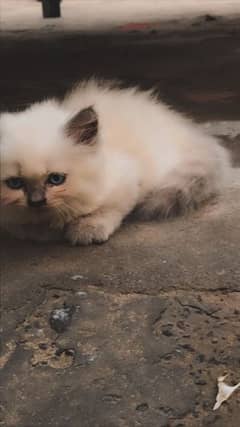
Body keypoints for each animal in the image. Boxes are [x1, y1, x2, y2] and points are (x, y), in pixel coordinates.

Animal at [0, 80, 231, 246]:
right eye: (15, 183)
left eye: (56, 179)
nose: (36, 201)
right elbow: (21, 225)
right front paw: (41, 230)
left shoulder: (127, 180)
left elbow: (107, 210)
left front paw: (86, 229)